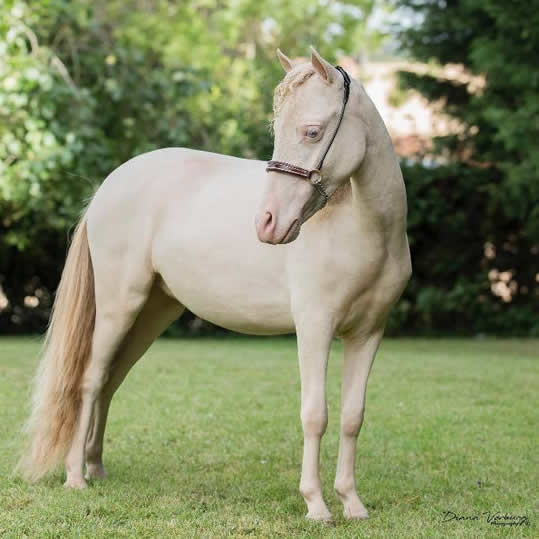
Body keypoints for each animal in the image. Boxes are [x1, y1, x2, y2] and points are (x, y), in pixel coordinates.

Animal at [19, 48, 412, 520]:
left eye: (312, 131)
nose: (268, 223)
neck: (366, 230)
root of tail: (107, 189)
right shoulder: (315, 328)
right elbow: (315, 414)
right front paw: (316, 504)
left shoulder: (368, 333)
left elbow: (353, 416)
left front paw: (351, 502)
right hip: (118, 307)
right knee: (92, 380)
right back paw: (76, 477)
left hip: (151, 314)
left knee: (112, 380)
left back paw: (96, 467)